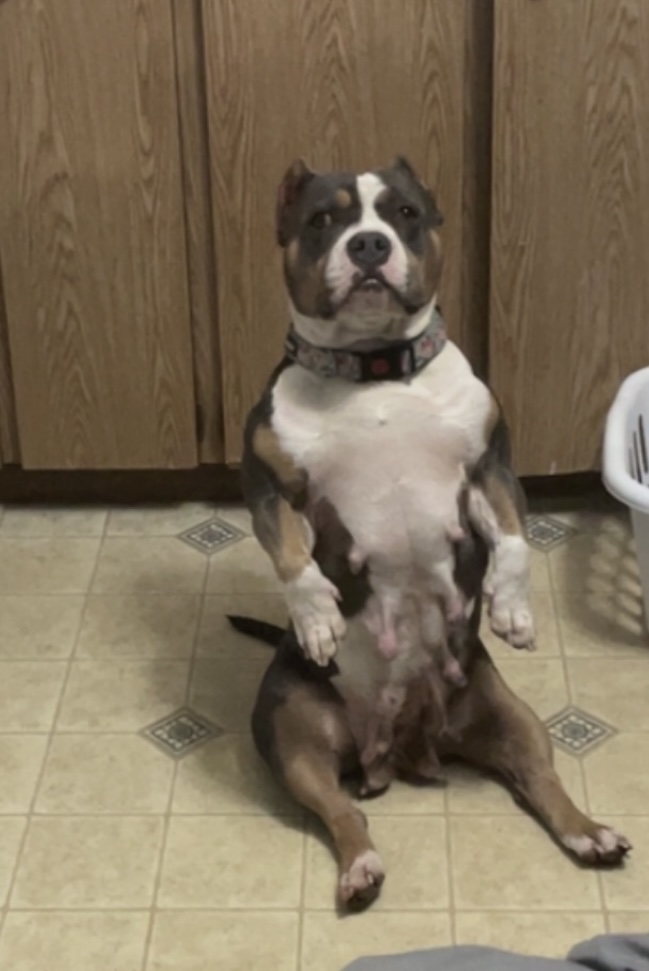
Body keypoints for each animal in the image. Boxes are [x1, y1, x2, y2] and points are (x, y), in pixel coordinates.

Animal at [233, 157, 631, 911]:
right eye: (322, 220)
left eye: (405, 214)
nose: (368, 245)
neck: (374, 374)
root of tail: (399, 747)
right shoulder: (272, 491)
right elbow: (295, 559)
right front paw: (318, 617)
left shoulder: (489, 468)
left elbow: (513, 540)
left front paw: (511, 608)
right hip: (293, 735)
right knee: (343, 811)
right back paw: (360, 868)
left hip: (510, 714)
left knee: (540, 781)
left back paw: (589, 833)